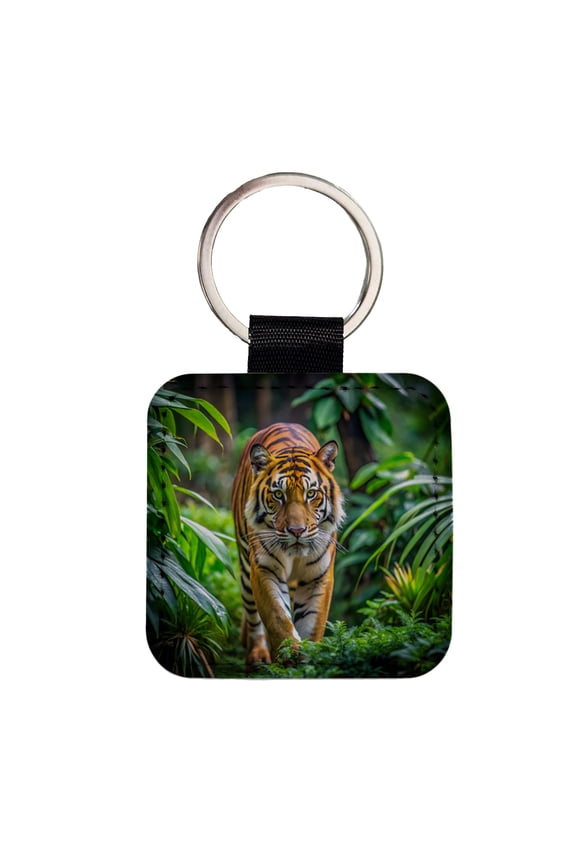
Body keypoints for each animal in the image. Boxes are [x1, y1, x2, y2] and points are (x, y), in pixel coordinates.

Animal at [231, 422, 345, 666]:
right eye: (278, 495)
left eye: (311, 493)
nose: (297, 531)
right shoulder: (264, 570)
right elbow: (278, 618)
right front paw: (289, 657)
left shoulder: (317, 577)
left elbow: (311, 625)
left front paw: (307, 661)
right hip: (245, 568)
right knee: (253, 615)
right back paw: (257, 654)